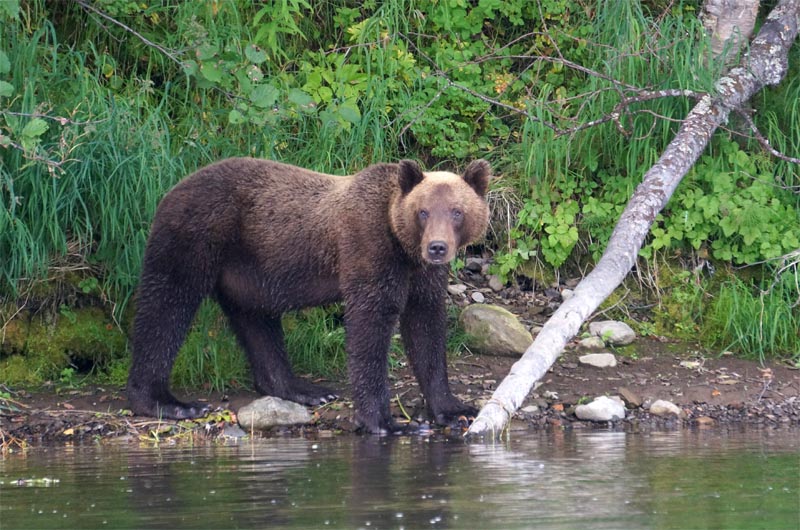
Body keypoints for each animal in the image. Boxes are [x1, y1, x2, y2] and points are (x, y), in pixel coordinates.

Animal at [128, 157, 490, 434]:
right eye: (423, 211)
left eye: (457, 211)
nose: (437, 247)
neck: (403, 248)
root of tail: (173, 188)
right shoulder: (369, 250)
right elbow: (370, 325)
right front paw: (384, 421)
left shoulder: (422, 277)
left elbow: (426, 327)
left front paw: (455, 409)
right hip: (195, 236)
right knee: (167, 306)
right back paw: (165, 402)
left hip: (248, 271)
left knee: (256, 322)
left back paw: (303, 390)